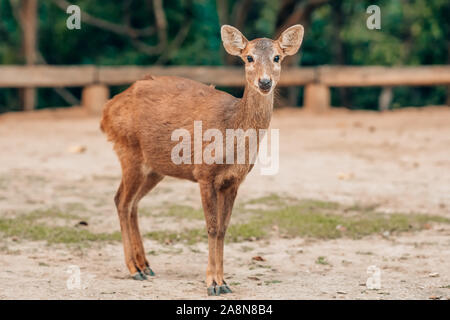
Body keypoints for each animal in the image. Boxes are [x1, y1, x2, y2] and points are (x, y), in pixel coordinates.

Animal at [100, 24, 304, 296]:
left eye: (277, 57)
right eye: (249, 57)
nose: (264, 82)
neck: (230, 131)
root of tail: (106, 112)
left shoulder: (234, 181)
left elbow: (224, 229)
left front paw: (224, 282)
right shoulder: (204, 174)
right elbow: (212, 227)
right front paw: (212, 283)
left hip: (154, 168)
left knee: (131, 203)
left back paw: (146, 266)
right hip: (128, 149)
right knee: (121, 201)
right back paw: (134, 269)